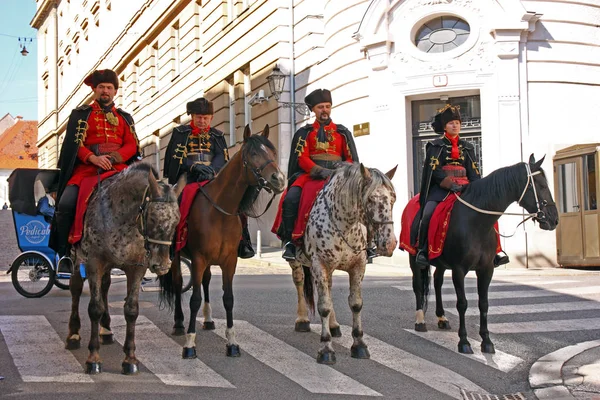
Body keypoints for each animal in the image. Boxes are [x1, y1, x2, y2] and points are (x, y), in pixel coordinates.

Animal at [64, 163, 184, 376]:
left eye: (177, 220)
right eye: (152, 218)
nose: (162, 265)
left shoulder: (136, 268)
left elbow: (131, 310)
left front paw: (130, 359)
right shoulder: (94, 263)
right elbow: (94, 308)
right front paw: (93, 358)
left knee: (104, 287)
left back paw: (106, 330)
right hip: (78, 259)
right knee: (76, 289)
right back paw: (74, 334)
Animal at [288, 163, 396, 366]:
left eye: (393, 199)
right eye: (371, 199)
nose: (389, 243)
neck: (345, 225)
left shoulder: (358, 266)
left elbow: (355, 303)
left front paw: (359, 345)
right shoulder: (319, 264)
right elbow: (324, 306)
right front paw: (326, 349)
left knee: (329, 289)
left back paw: (334, 325)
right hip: (298, 262)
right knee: (299, 282)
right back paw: (302, 319)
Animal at [404, 155, 556, 354]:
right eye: (541, 185)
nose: (554, 219)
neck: (476, 222)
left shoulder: (486, 269)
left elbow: (483, 303)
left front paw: (487, 341)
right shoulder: (459, 270)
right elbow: (462, 303)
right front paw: (464, 341)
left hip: (441, 261)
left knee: (437, 282)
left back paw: (442, 317)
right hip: (414, 257)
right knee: (418, 286)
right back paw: (420, 320)